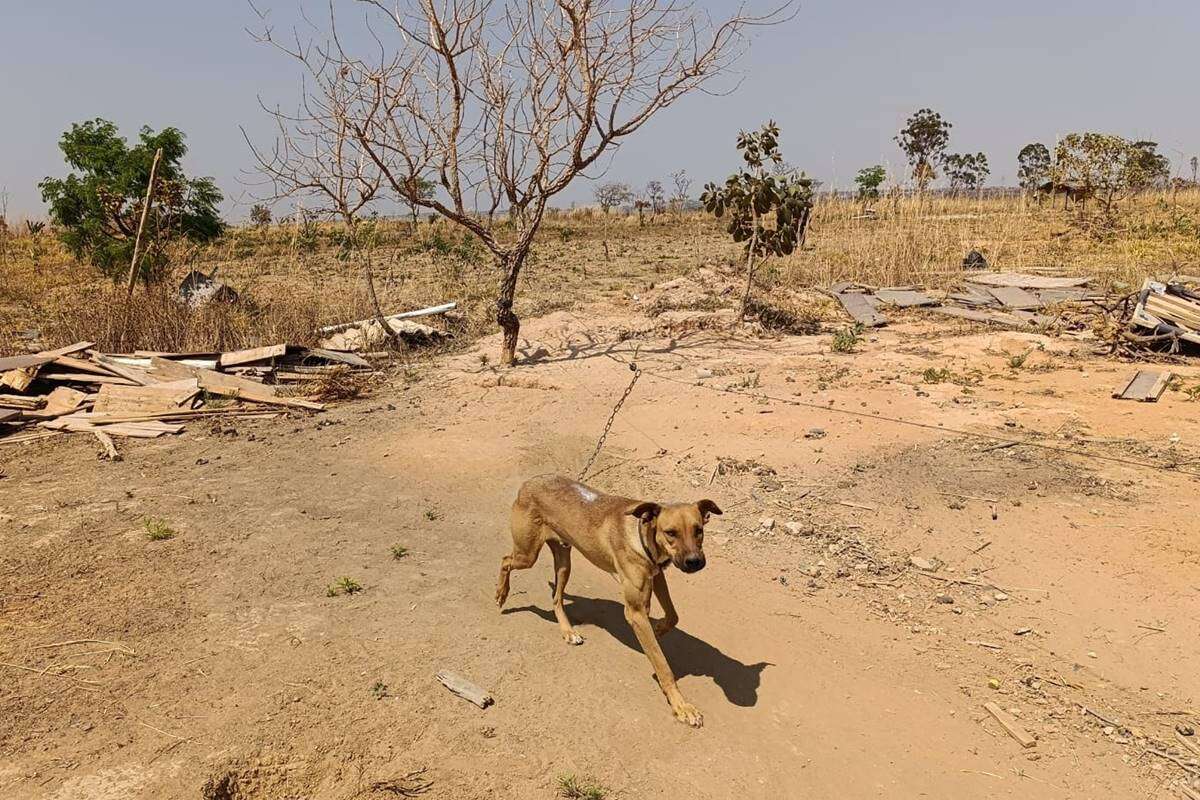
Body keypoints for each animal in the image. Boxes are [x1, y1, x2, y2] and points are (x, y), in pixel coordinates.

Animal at [496, 474, 720, 734]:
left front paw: (658, 629)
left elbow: (673, 616)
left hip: (563, 560)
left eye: (699, 530)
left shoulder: (656, 576)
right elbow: (663, 665)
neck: (642, 534)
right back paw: (502, 593)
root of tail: (530, 481)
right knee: (506, 560)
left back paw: (568, 631)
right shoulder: (635, 611)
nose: (695, 562)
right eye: (671, 532)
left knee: (556, 598)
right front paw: (681, 706)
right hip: (527, 554)